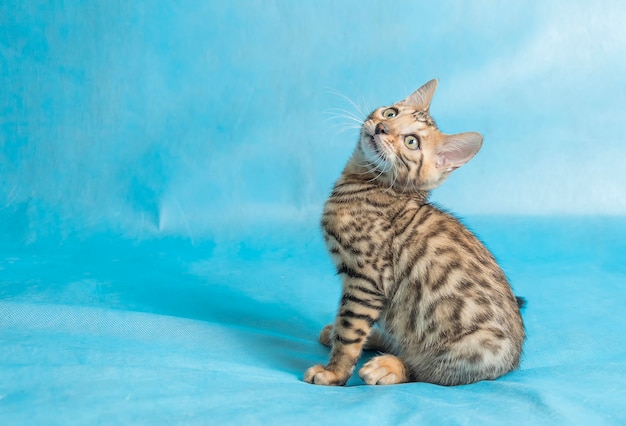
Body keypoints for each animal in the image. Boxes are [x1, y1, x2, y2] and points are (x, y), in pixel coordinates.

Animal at [302, 79, 520, 386]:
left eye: (411, 142)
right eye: (391, 113)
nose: (382, 127)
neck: (370, 184)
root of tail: (513, 360)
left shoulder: (368, 280)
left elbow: (350, 331)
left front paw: (333, 372)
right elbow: (350, 325)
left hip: (474, 348)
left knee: (427, 369)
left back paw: (388, 367)